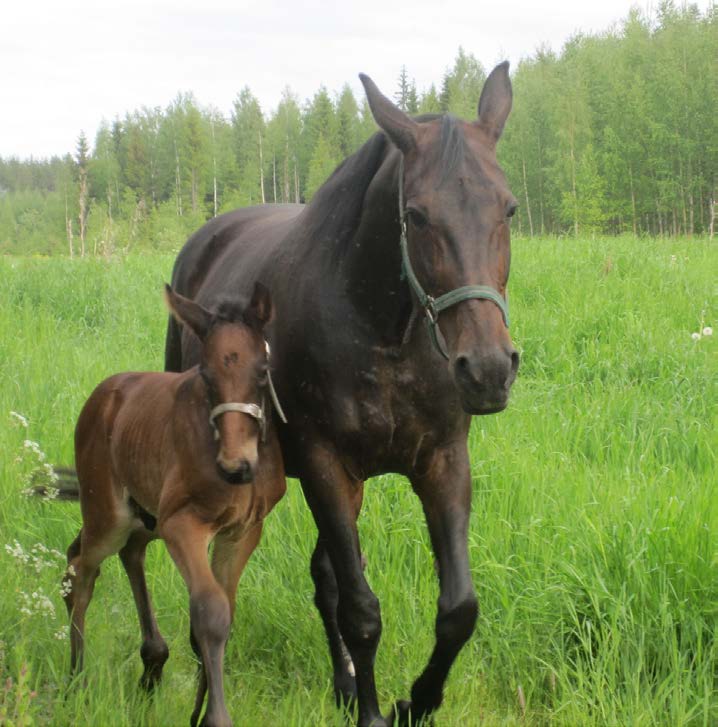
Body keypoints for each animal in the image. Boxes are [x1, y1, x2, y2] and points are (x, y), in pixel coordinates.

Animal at [62, 284, 286, 727]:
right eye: (206, 375)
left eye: (262, 371)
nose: (236, 466)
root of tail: (102, 395)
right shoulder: (183, 523)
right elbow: (211, 611)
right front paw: (214, 717)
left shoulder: (243, 531)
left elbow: (224, 610)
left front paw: (199, 712)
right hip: (110, 514)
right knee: (83, 569)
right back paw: (77, 679)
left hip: (143, 517)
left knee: (123, 553)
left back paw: (149, 666)